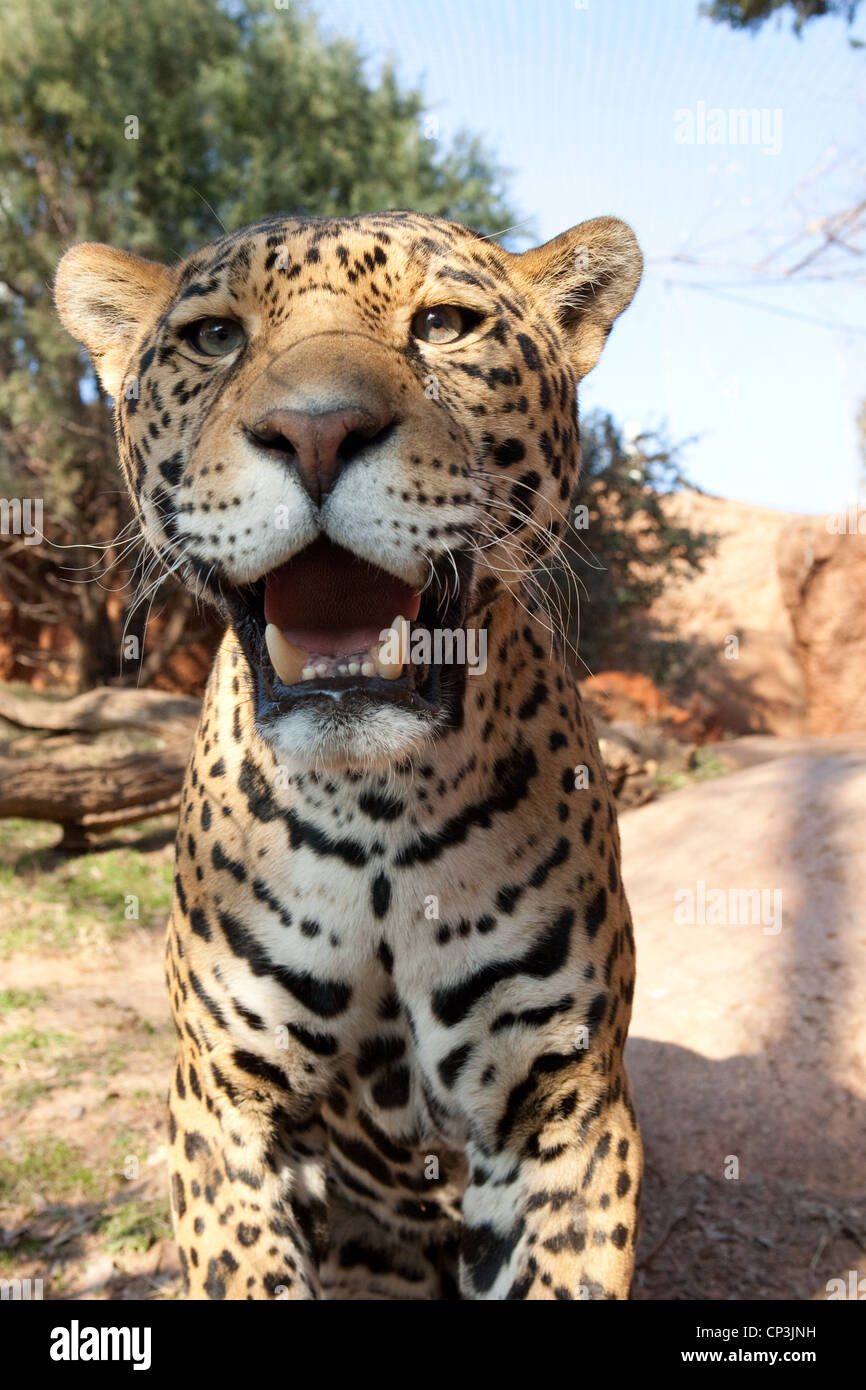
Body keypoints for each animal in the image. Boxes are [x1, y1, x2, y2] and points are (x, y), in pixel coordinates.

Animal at [54, 206, 643, 1300]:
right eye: (214, 338)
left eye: (444, 325)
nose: (317, 431)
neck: (378, 806)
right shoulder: (222, 1100)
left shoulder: (566, 1104)